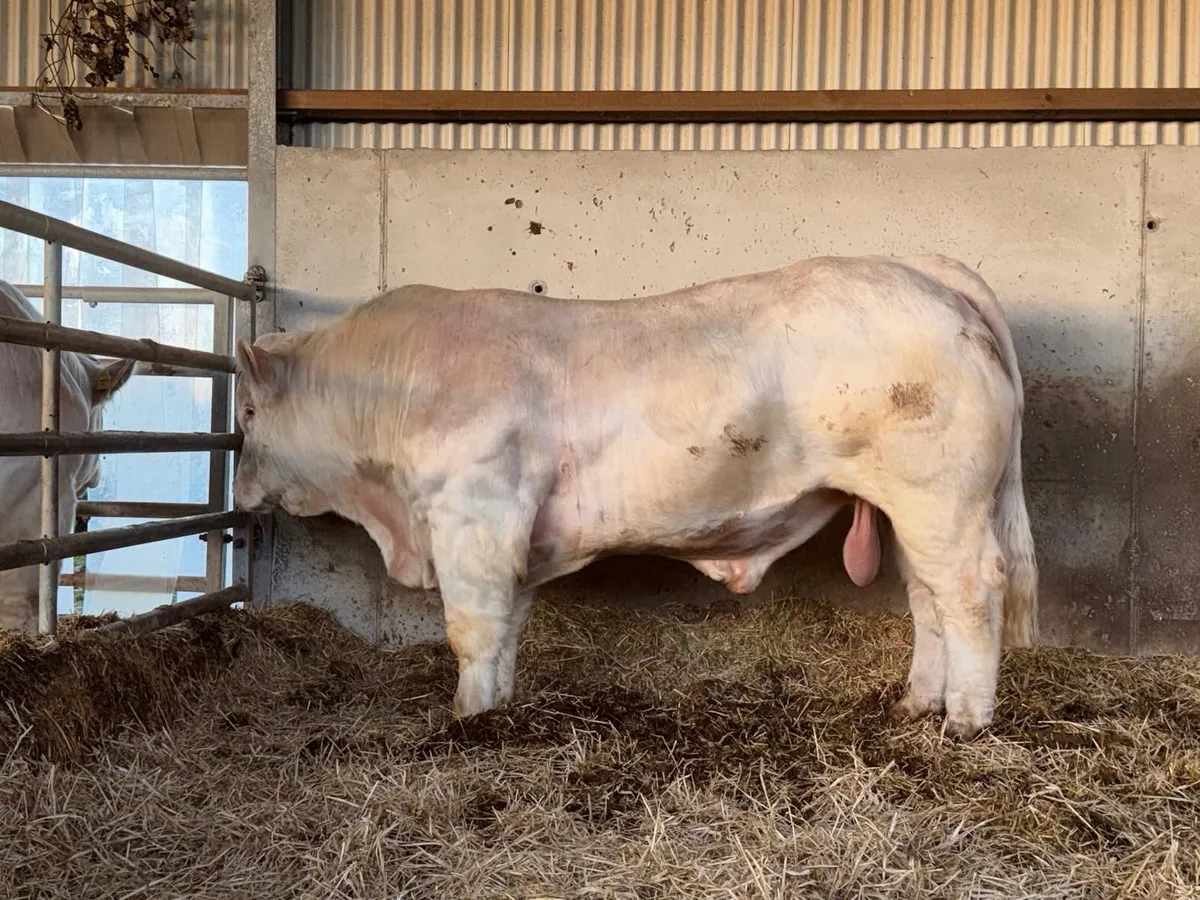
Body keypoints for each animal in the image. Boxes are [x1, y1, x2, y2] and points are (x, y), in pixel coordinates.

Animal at [232, 254, 1038, 740]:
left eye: (242, 412)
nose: (237, 490)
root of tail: (924, 273)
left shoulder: (475, 512)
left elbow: (471, 627)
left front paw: (467, 718)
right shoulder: (520, 536)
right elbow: (509, 625)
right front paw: (499, 707)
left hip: (940, 496)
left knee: (971, 592)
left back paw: (966, 720)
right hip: (911, 511)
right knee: (927, 601)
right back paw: (916, 703)